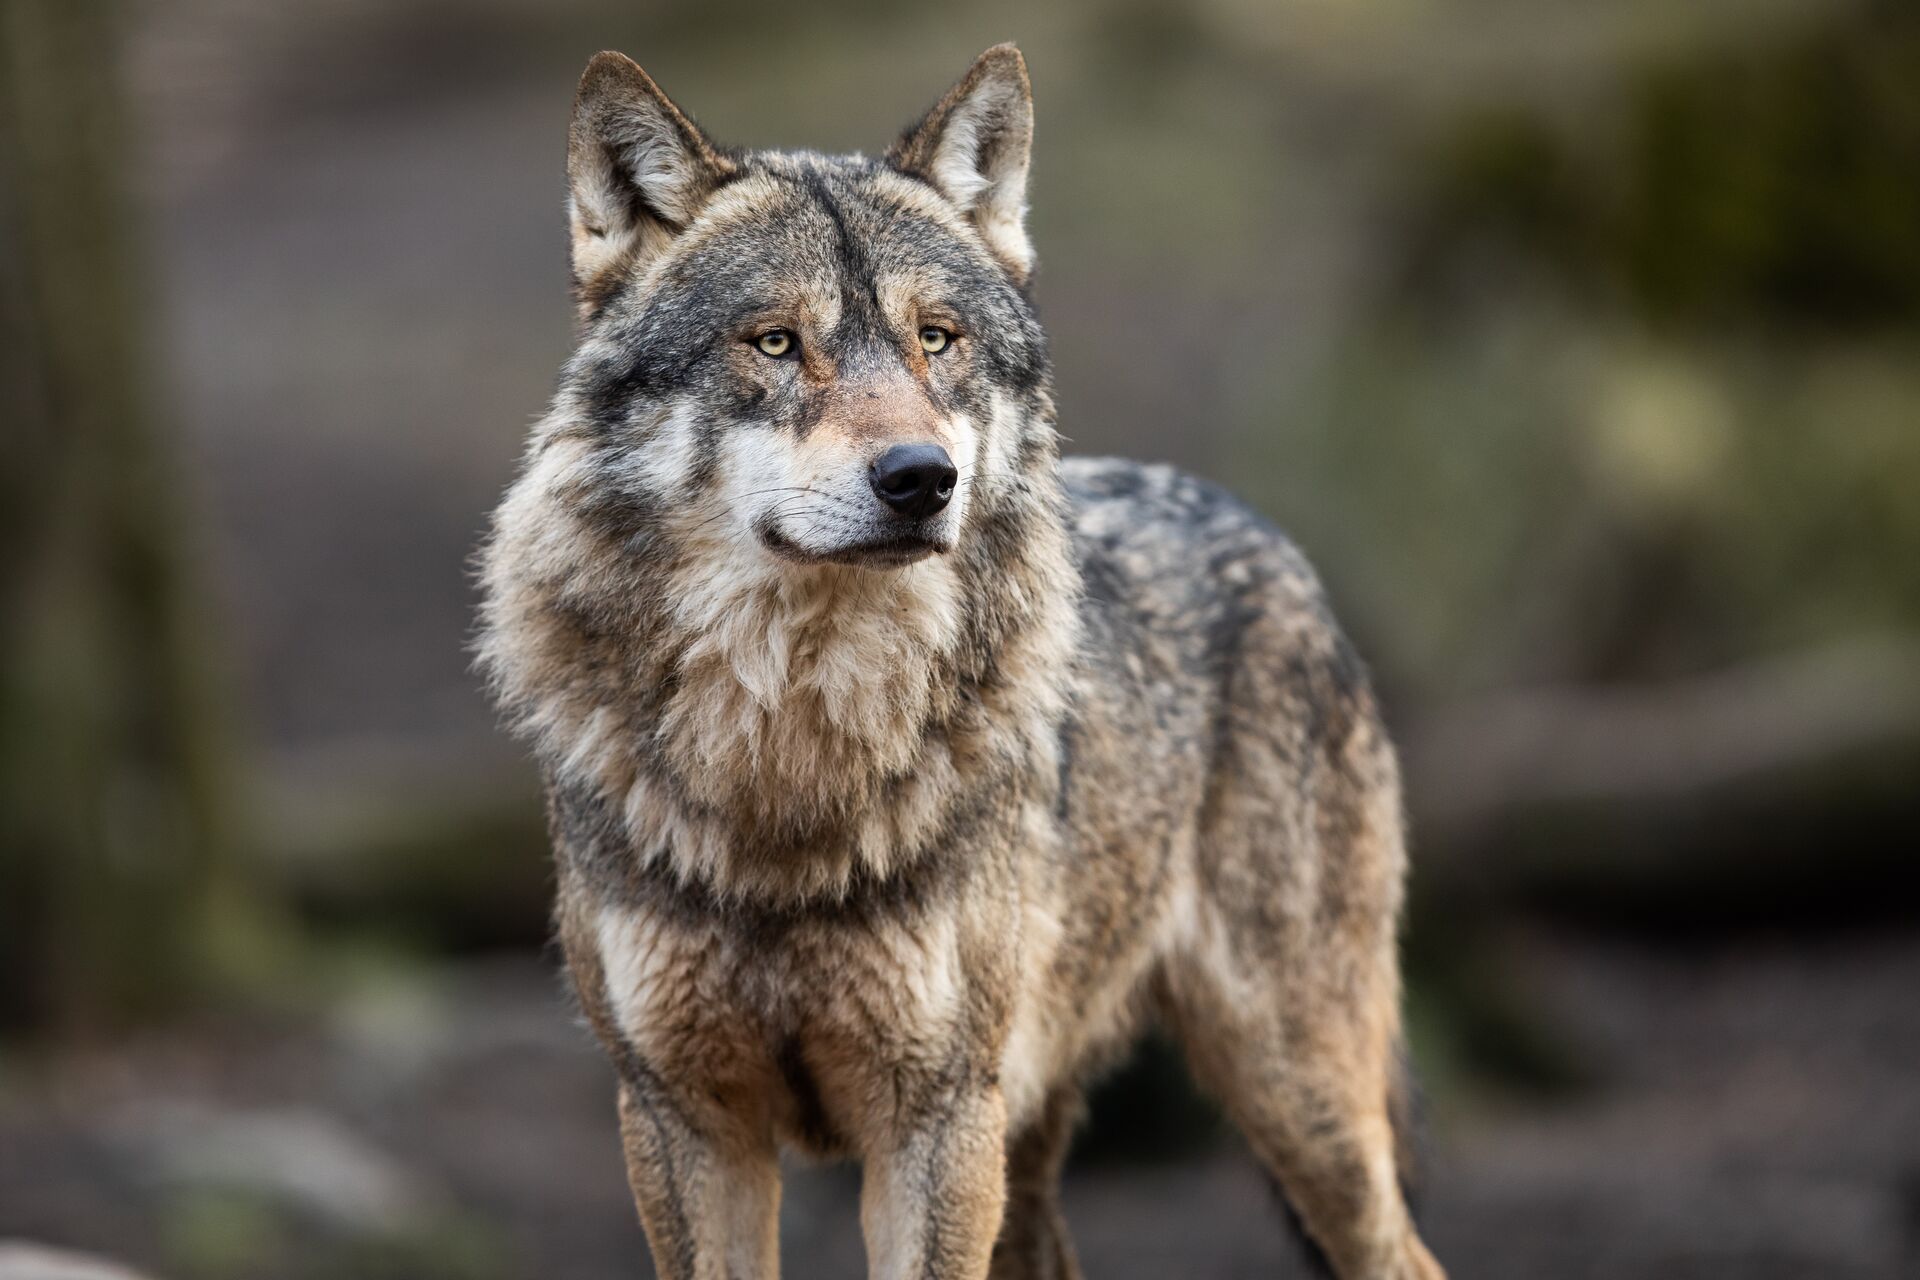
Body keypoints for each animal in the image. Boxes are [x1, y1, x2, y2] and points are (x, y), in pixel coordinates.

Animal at [480, 45, 1443, 1274]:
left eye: (935, 339)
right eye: (775, 341)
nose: (920, 477)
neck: (792, 759)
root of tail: (1262, 529)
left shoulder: (934, 1118)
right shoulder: (679, 1118)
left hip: (1293, 1099)